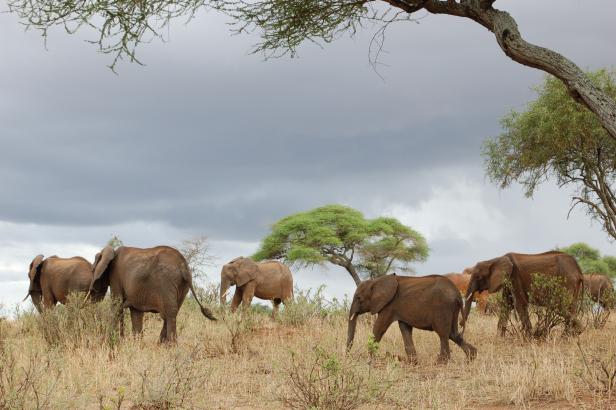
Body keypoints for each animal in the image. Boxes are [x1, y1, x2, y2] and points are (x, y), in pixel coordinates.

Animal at [89, 245, 217, 342]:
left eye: (93, 270)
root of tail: (183, 265)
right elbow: (135, 313)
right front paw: (136, 345)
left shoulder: (116, 277)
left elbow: (116, 305)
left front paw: (109, 342)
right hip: (182, 286)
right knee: (172, 312)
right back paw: (162, 345)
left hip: (166, 280)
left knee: (169, 313)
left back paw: (170, 347)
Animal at [346, 274, 476, 364]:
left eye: (358, 298)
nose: (347, 355)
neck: (376, 281)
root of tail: (457, 294)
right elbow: (405, 329)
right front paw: (413, 362)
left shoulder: (389, 305)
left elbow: (379, 328)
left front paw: (369, 359)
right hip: (452, 309)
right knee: (454, 334)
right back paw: (472, 357)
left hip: (443, 307)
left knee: (443, 333)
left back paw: (441, 362)